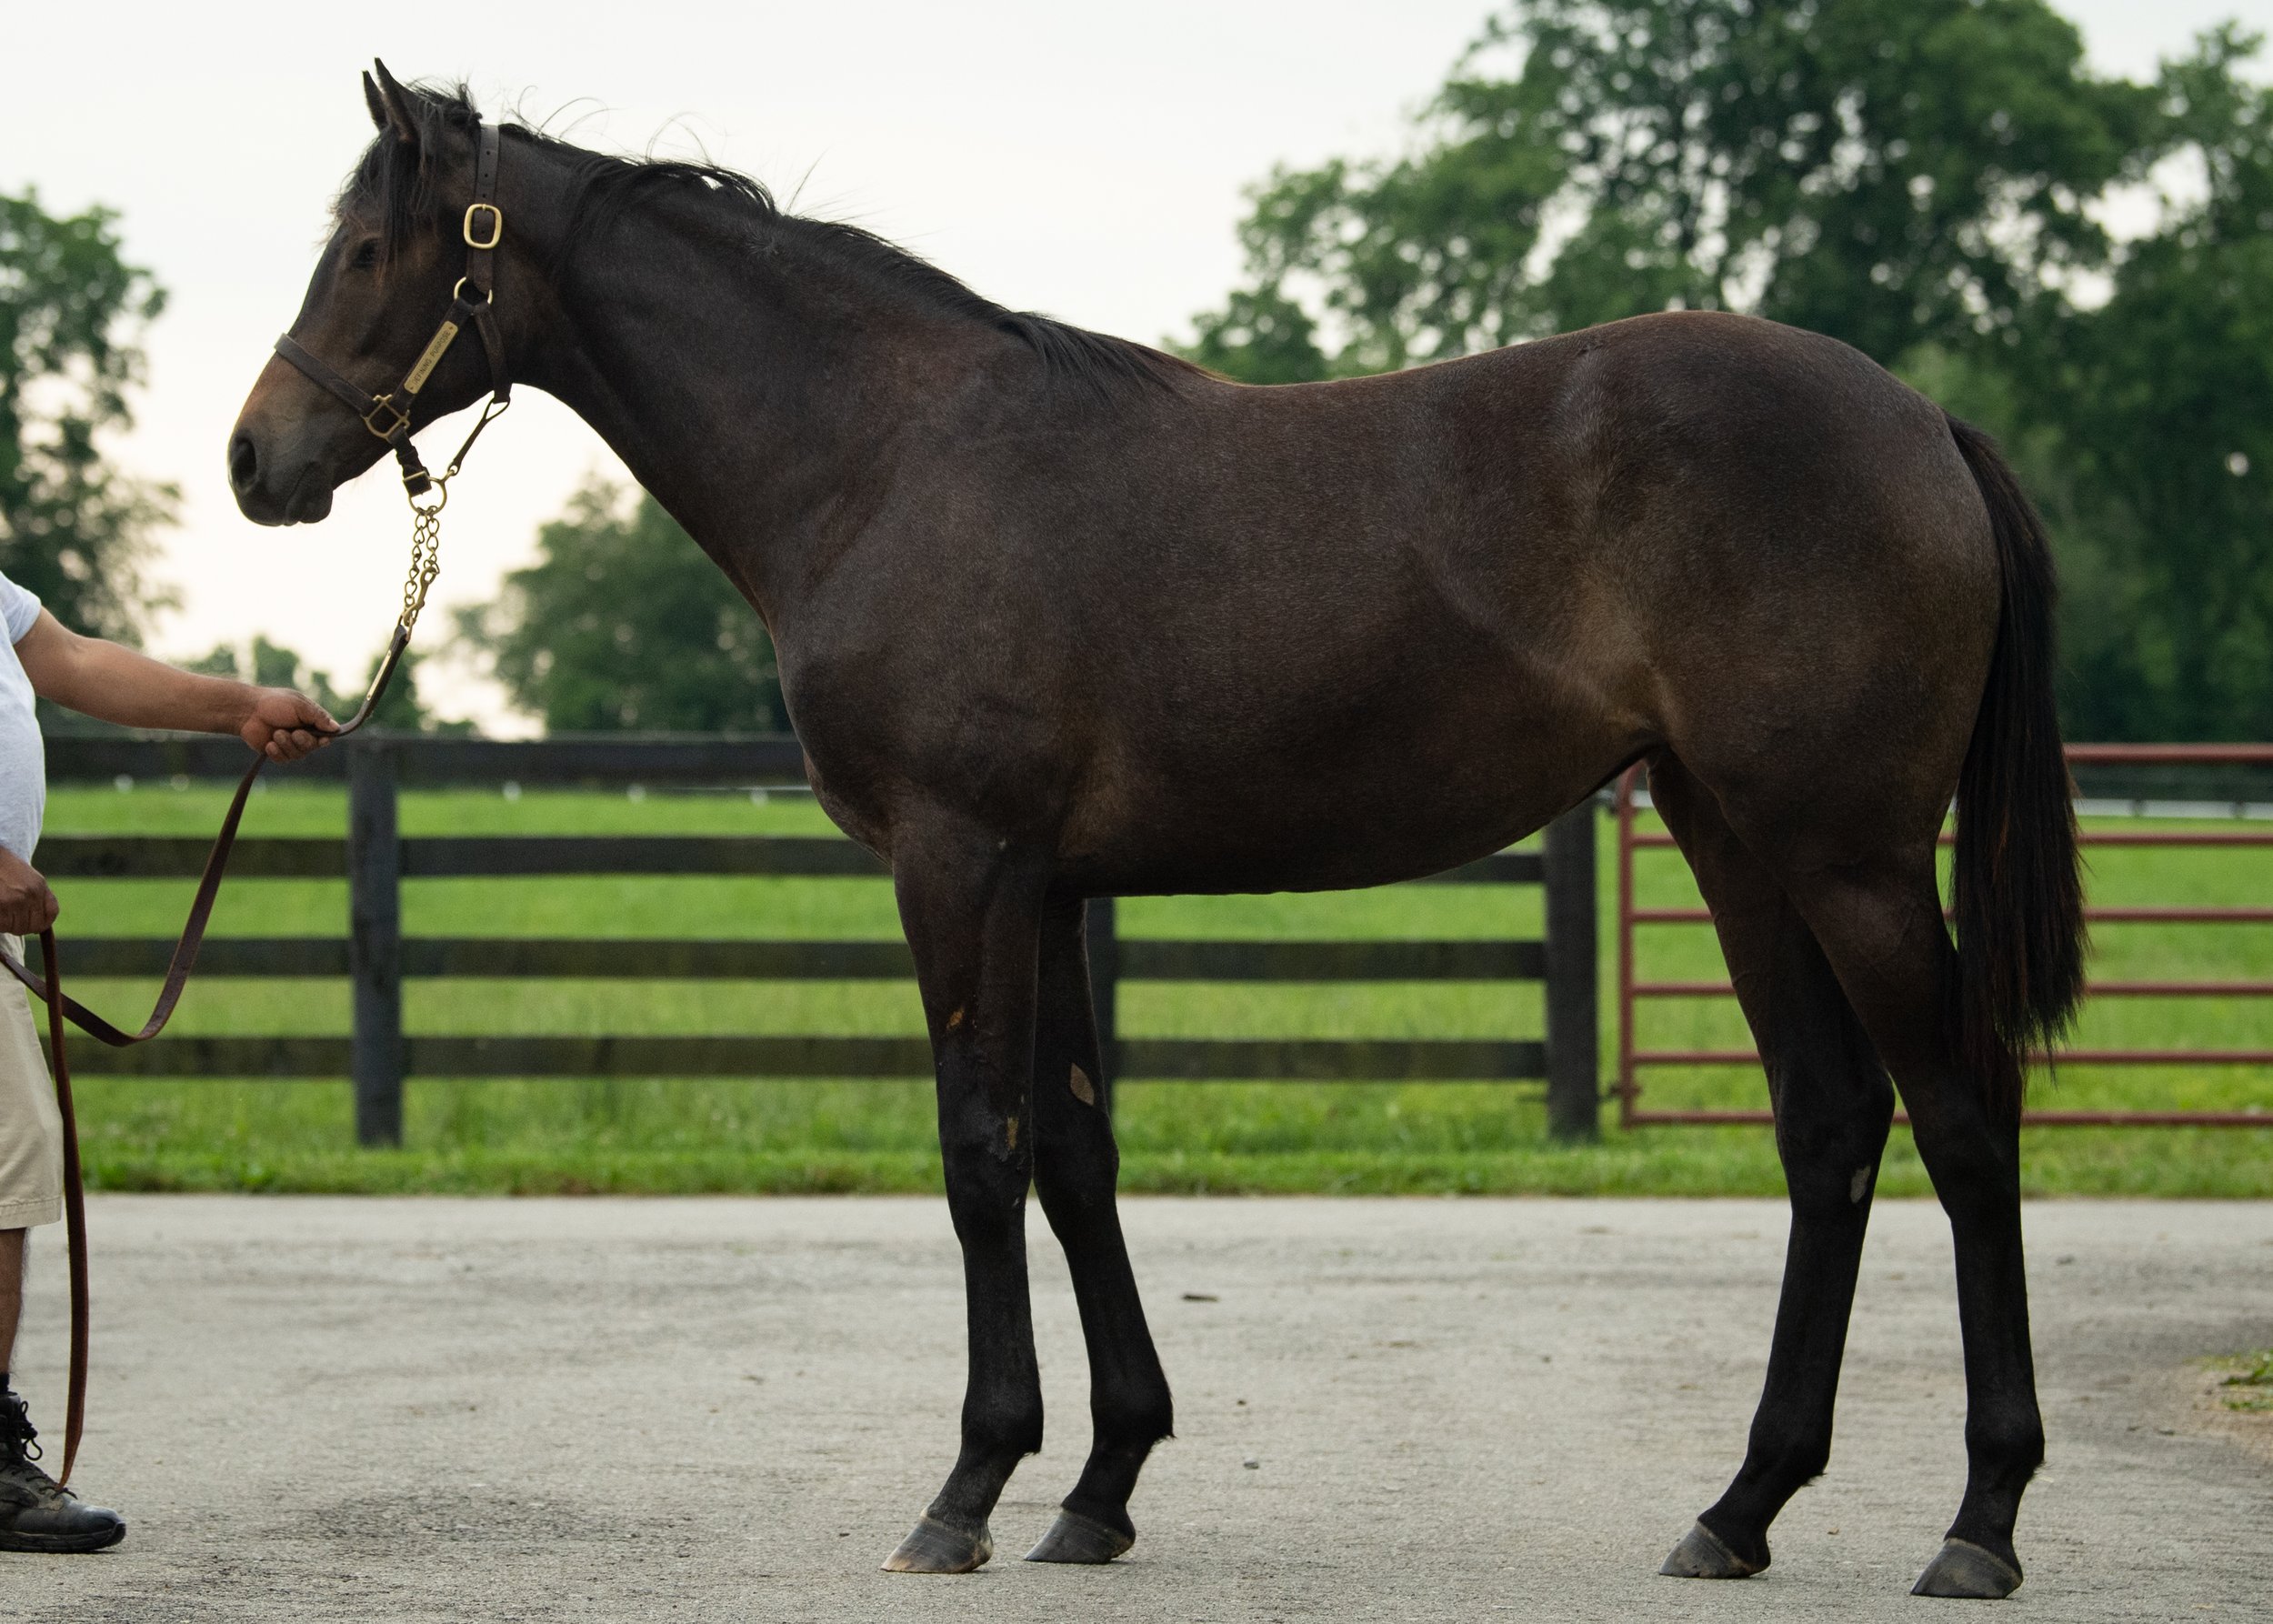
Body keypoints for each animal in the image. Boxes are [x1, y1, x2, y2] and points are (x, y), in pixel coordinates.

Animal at [225, 66, 2082, 1591]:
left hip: (1845, 857)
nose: (254, 460)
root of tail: (1922, 420)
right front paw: (1099, 1483)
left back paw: (1980, 1521)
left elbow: (978, 1153)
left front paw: (968, 1487)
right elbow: (1074, 1153)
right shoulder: (1047, 887)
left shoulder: (956, 864)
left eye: (373, 248)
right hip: (1734, 840)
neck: (882, 458)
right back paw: (1740, 1507)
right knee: (1832, 1127)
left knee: (1962, 1120)